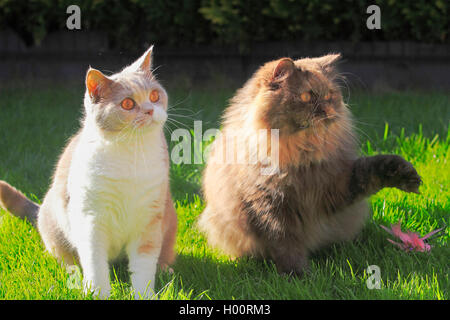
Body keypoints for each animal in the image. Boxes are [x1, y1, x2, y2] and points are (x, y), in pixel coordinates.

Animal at [198, 53, 422, 274]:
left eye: (329, 95)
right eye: (307, 96)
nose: (329, 111)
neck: (301, 155)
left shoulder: (335, 185)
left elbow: (370, 171)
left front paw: (407, 176)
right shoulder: (271, 208)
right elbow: (286, 246)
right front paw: (300, 275)